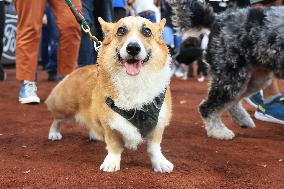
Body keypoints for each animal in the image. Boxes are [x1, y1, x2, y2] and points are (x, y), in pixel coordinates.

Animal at [45, 16, 173, 173]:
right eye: (121, 30)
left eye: (147, 31)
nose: (133, 48)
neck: (134, 81)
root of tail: (77, 70)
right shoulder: (110, 125)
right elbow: (114, 146)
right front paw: (111, 163)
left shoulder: (158, 125)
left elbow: (154, 148)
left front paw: (160, 163)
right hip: (65, 106)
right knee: (56, 119)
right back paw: (54, 133)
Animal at [170, 0, 282, 139]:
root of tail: (218, 19)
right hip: (231, 75)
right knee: (207, 107)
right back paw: (218, 131)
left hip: (254, 78)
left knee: (232, 102)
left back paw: (243, 120)